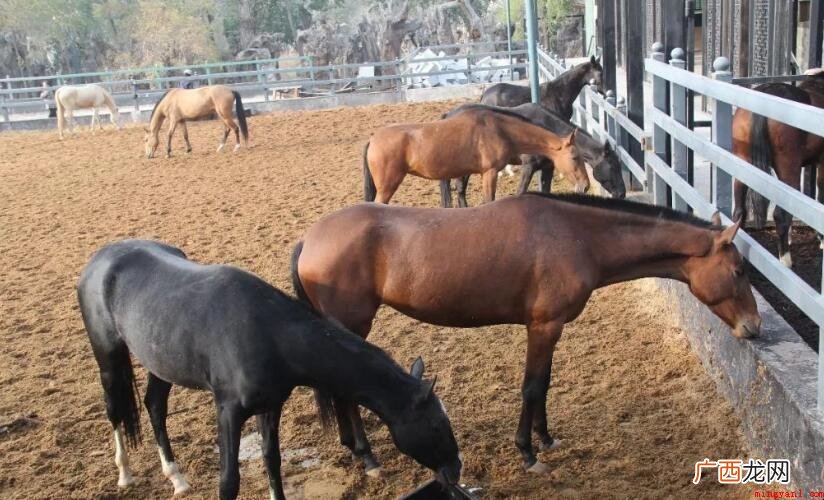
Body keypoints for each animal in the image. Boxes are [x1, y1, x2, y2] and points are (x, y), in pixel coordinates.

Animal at [78, 240, 462, 500]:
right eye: (435, 425)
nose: (456, 471)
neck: (267, 332)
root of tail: (100, 260)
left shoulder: (270, 406)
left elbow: (271, 461)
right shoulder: (228, 411)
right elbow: (229, 481)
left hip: (160, 362)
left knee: (155, 406)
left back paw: (177, 477)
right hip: (108, 357)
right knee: (115, 410)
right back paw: (125, 474)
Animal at [292, 194, 761, 474]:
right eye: (739, 270)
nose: (754, 327)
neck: (575, 236)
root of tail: (309, 239)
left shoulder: (549, 328)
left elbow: (545, 384)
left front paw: (546, 438)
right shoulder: (544, 326)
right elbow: (532, 386)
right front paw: (528, 452)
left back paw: (353, 446)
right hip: (351, 326)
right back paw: (367, 456)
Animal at [362, 107, 589, 206]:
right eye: (575, 157)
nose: (586, 186)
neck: (498, 129)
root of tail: (372, 140)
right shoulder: (489, 173)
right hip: (388, 185)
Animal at [440, 103, 626, 207]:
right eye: (614, 167)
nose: (622, 194)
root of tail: (448, 115)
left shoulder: (548, 168)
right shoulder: (528, 167)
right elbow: (521, 191)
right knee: (460, 189)